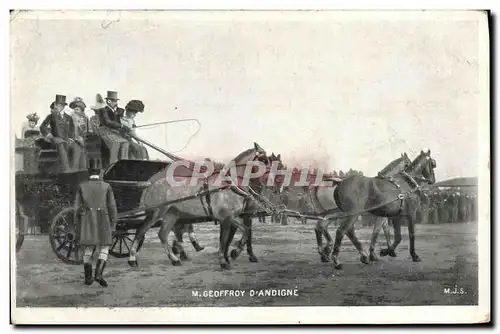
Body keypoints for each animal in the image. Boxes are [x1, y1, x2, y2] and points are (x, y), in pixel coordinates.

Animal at [124, 142, 274, 270]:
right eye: (263, 159)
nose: (272, 181)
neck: (229, 185)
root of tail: (150, 185)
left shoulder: (233, 217)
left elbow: (246, 231)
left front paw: (235, 252)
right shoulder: (225, 218)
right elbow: (223, 239)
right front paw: (223, 260)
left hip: (171, 215)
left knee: (162, 234)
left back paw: (174, 259)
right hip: (155, 213)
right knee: (141, 231)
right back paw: (132, 259)